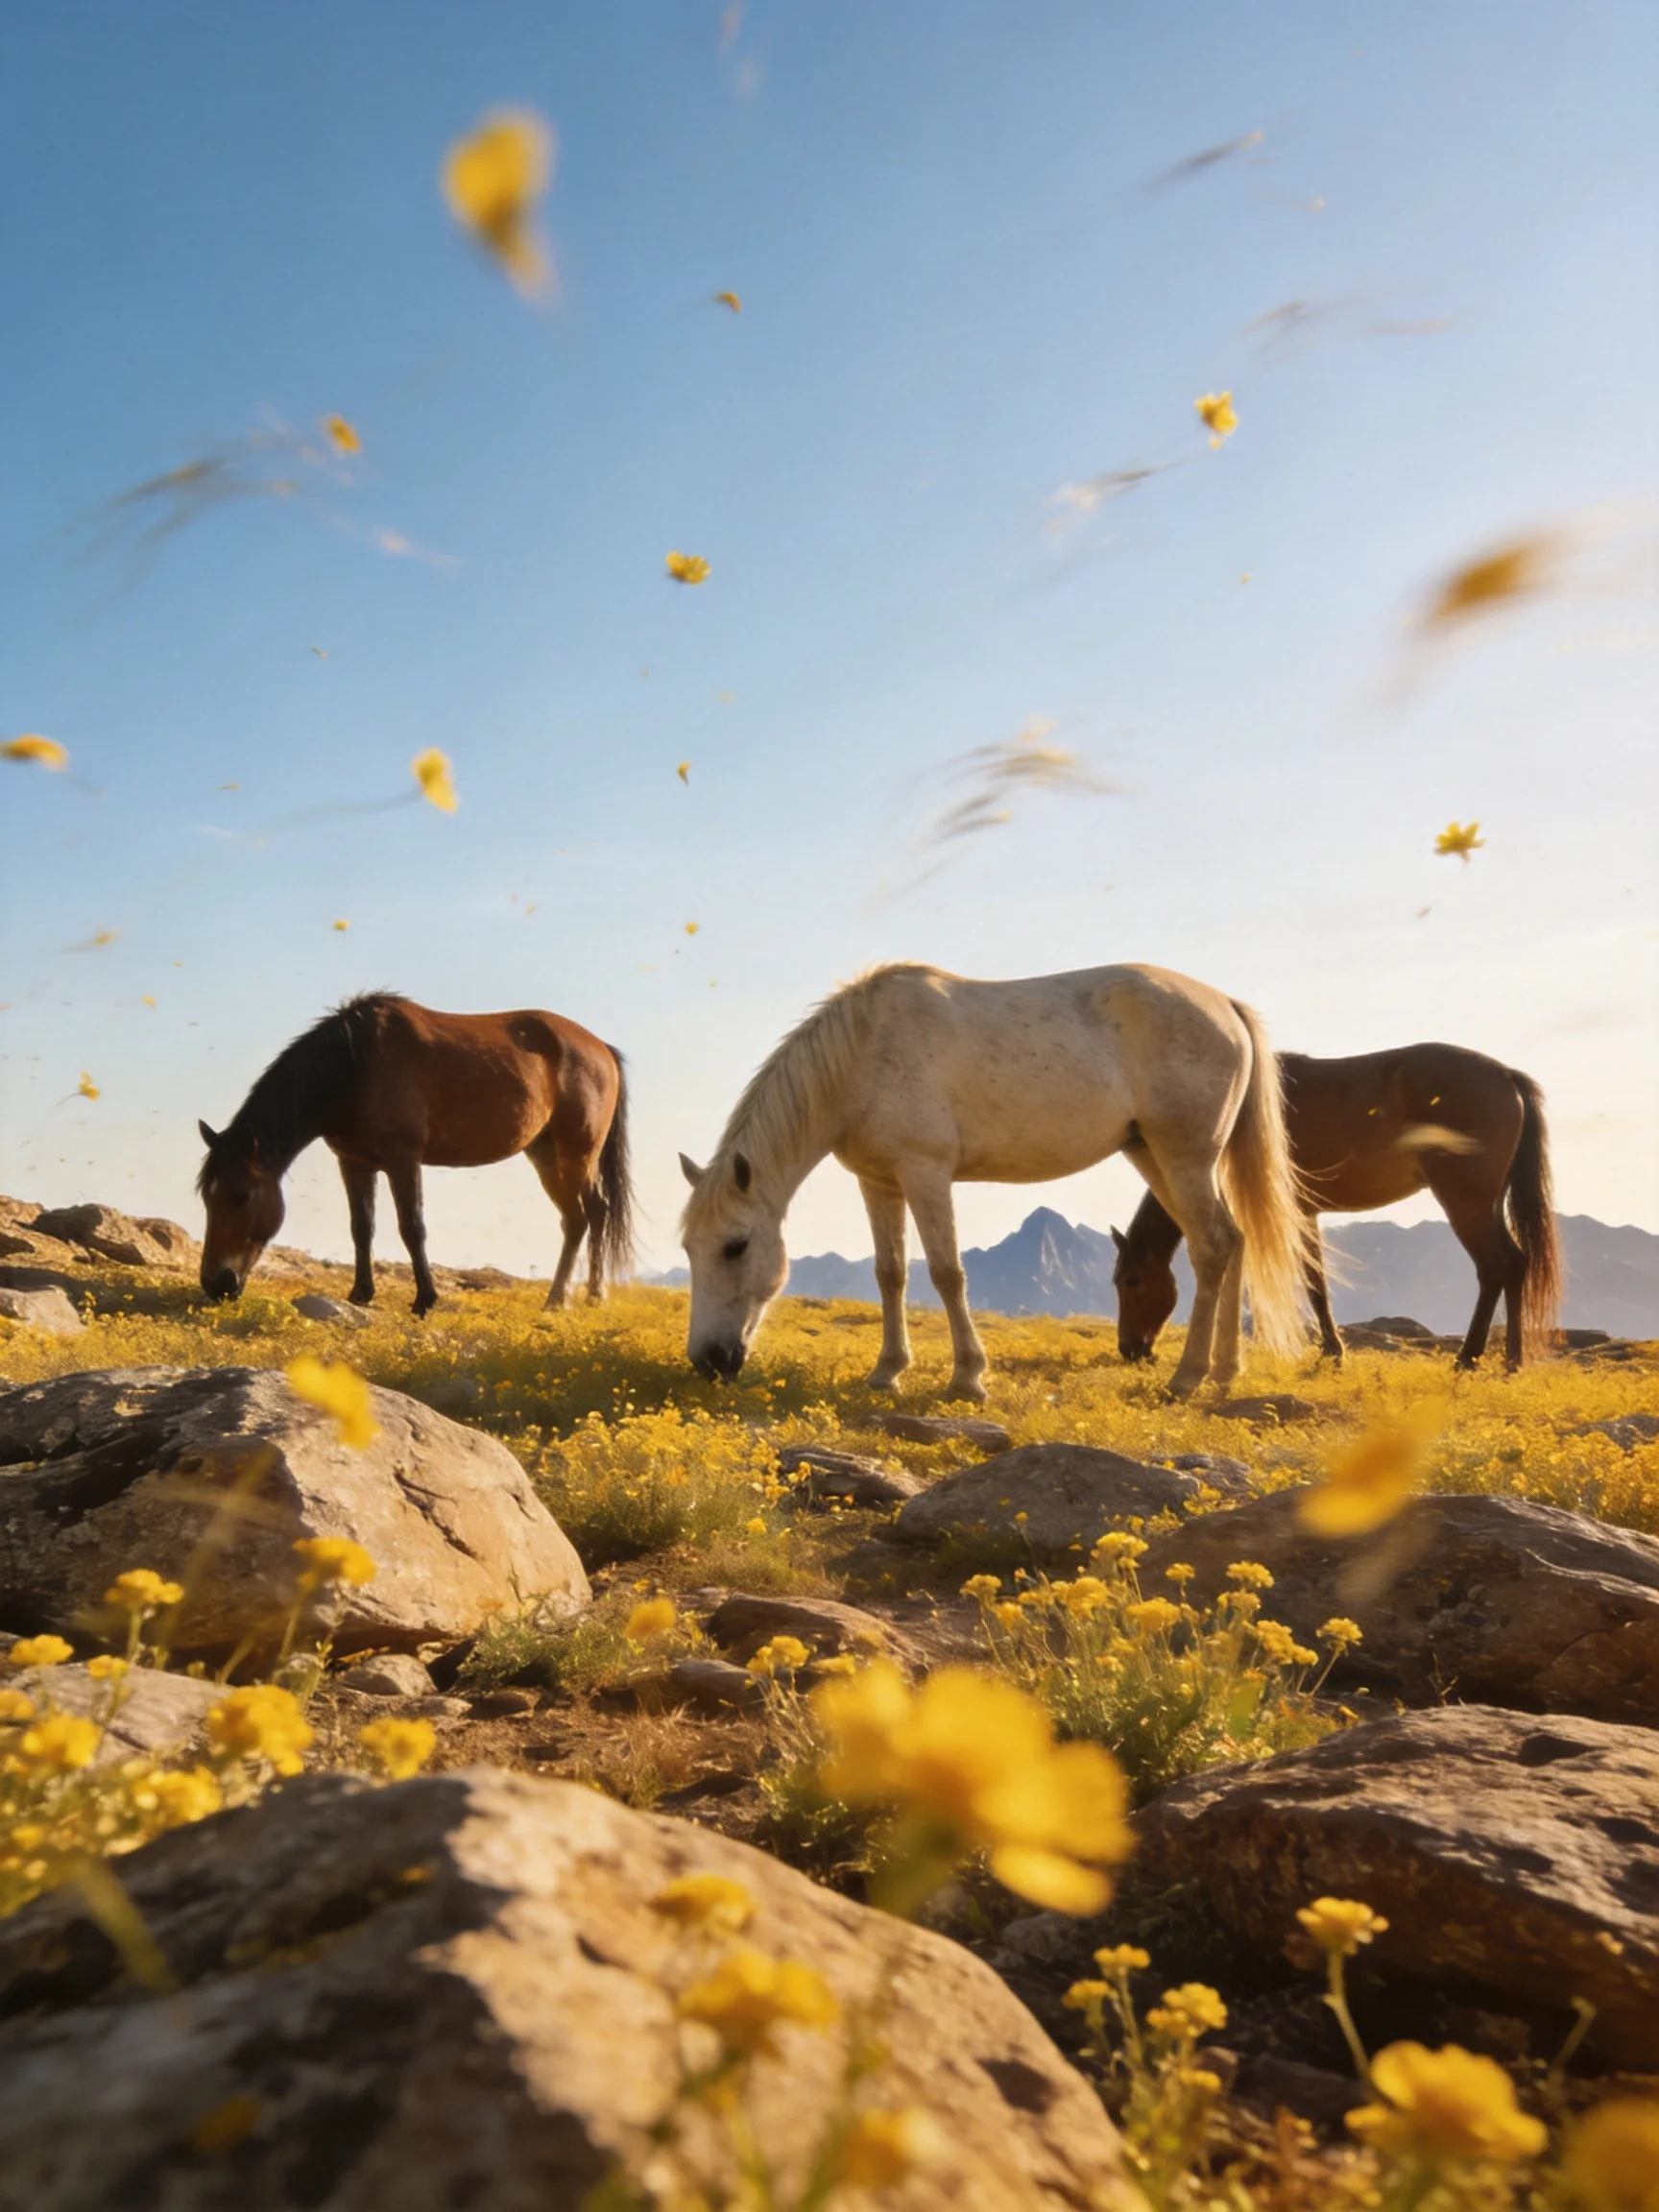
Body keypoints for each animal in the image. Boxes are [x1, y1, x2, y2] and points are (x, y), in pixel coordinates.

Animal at [196, 992, 632, 1316]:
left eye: (240, 1197)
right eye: (207, 1198)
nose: (215, 1285)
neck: (355, 1064)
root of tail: (602, 1049)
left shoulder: (402, 1160)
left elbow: (412, 1227)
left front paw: (425, 1300)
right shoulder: (354, 1163)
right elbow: (362, 1227)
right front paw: (361, 1294)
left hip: (576, 1153)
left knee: (585, 1215)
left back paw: (566, 1300)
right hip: (545, 1155)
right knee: (586, 1215)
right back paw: (582, 1297)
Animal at [679, 961, 1313, 1402]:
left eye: (735, 1246)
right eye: (688, 1248)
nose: (708, 1362)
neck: (864, 1053)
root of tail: (1225, 1004)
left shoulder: (926, 1173)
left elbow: (946, 1272)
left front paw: (968, 1378)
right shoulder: (879, 1184)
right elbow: (890, 1275)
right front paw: (887, 1372)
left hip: (1184, 1157)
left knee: (1213, 1246)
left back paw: (1188, 1377)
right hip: (1154, 1157)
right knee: (1233, 1240)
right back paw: (1226, 1373)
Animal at [1112, 1044, 1561, 1371]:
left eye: (1132, 1281)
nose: (1130, 1349)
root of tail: (1506, 1075)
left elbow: (1309, 1284)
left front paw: (1330, 1350)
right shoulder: (1304, 1212)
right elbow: (1317, 1284)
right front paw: (1331, 1348)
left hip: (1465, 1203)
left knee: (1494, 1268)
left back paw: (1469, 1357)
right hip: (1488, 1204)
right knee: (1516, 1263)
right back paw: (1512, 1359)